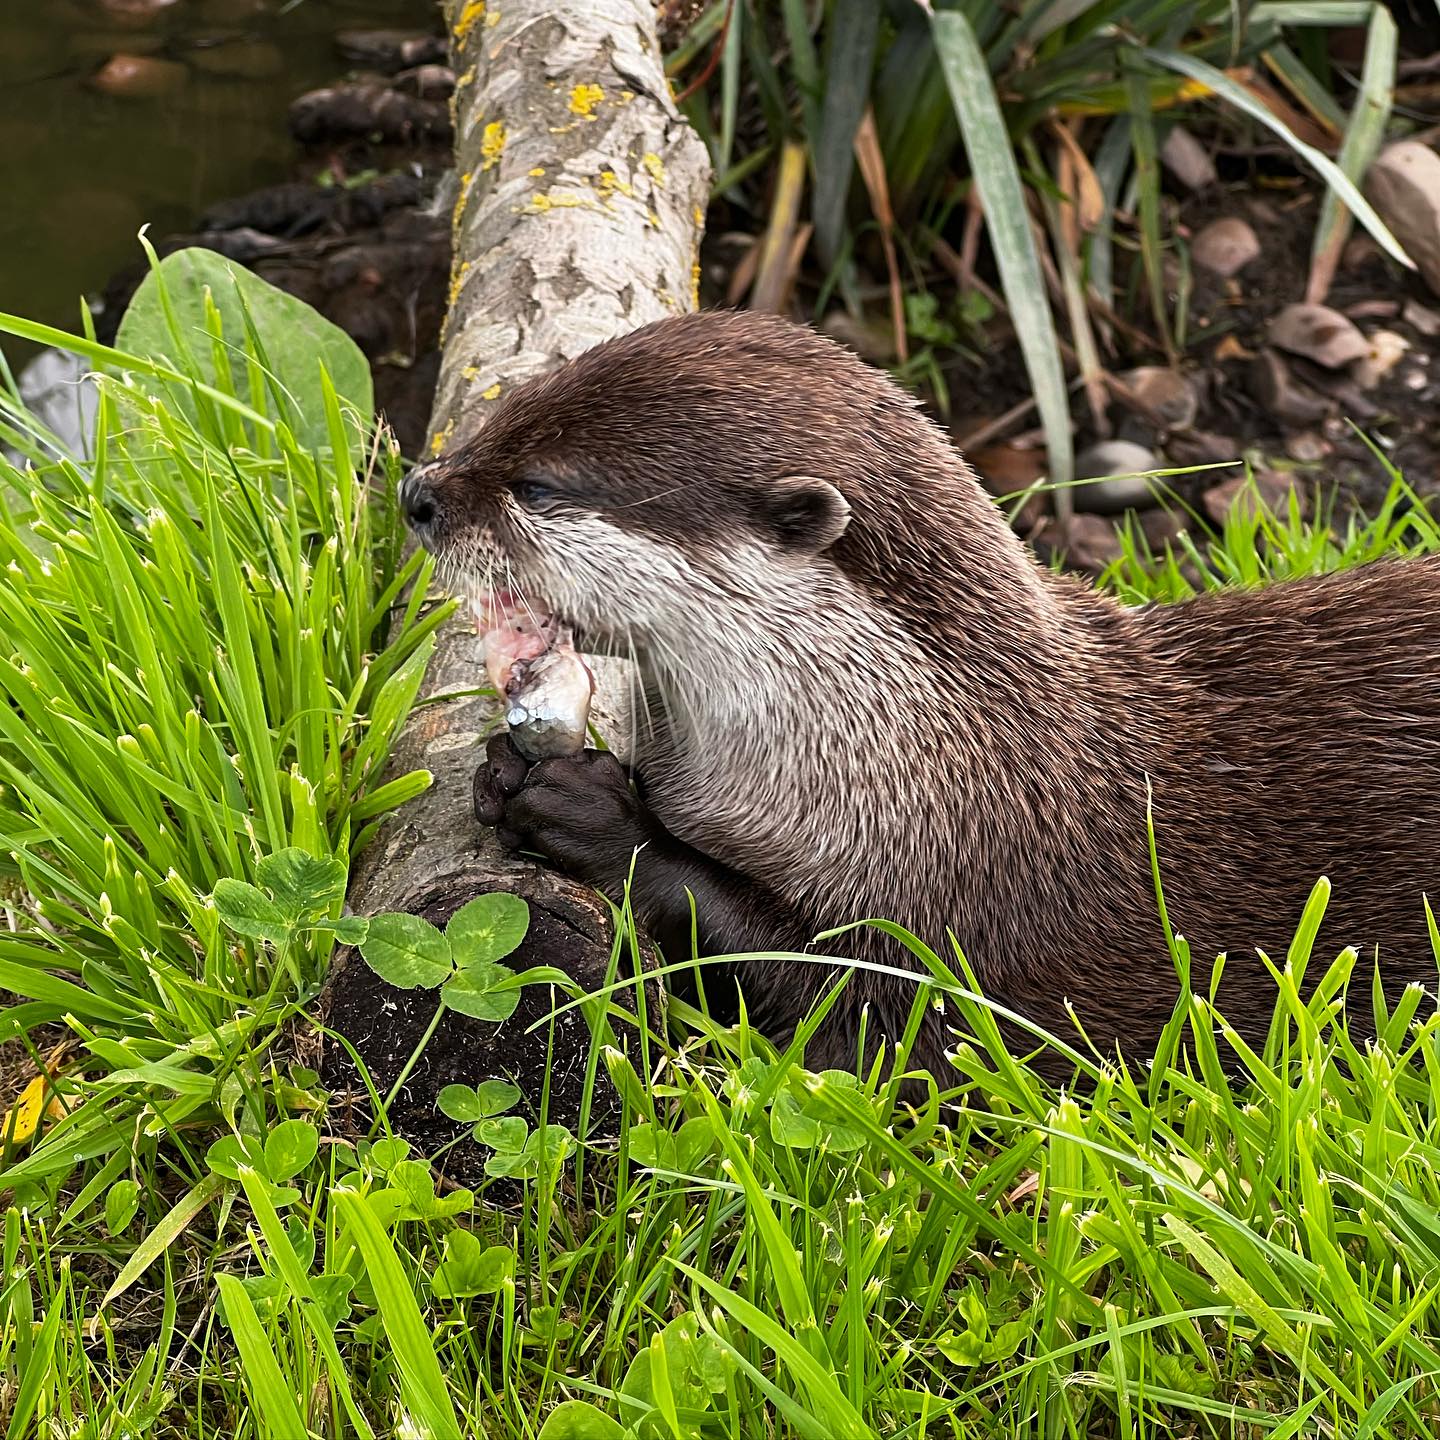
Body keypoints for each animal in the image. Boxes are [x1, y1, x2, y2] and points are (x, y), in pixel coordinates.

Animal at [401, 308, 1440, 1083]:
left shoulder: (976, 924)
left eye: (539, 485)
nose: (418, 493)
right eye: (507, 409)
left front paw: (593, 812)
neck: (935, 763)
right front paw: (505, 771)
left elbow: (855, 1002)